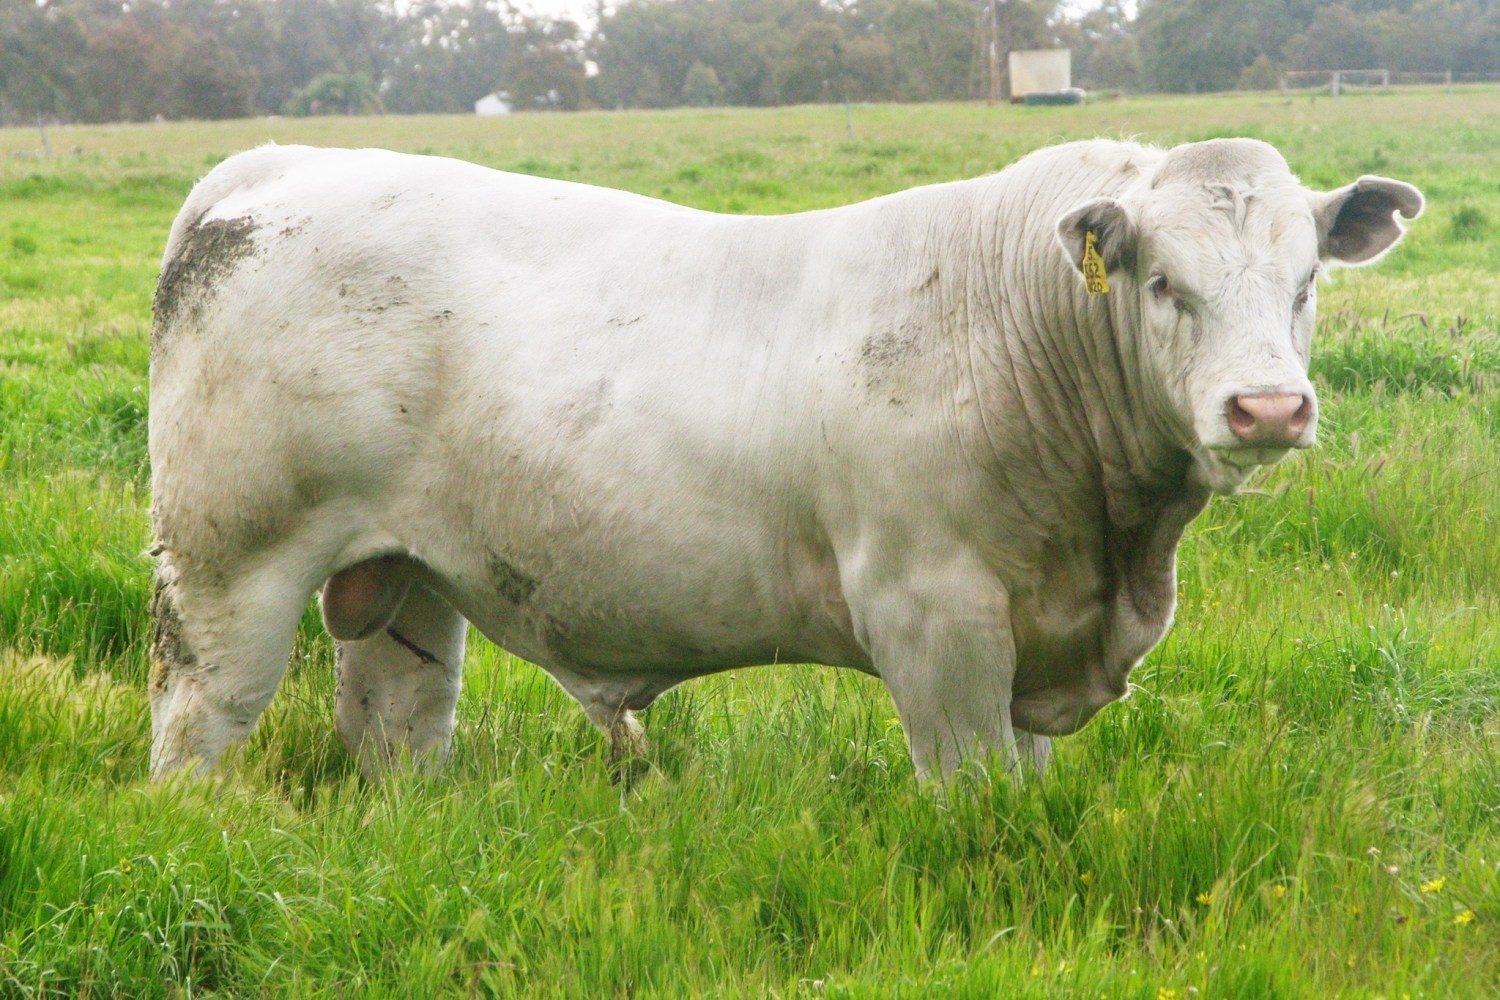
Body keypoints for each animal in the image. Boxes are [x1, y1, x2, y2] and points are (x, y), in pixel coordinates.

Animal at [146, 138, 1422, 779]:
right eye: (1164, 281)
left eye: (1308, 278)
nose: (1267, 408)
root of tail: (277, 166)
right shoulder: (936, 621)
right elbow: (976, 798)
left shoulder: (1036, 634)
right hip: (227, 564)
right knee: (200, 720)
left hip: (408, 575)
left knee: (397, 723)